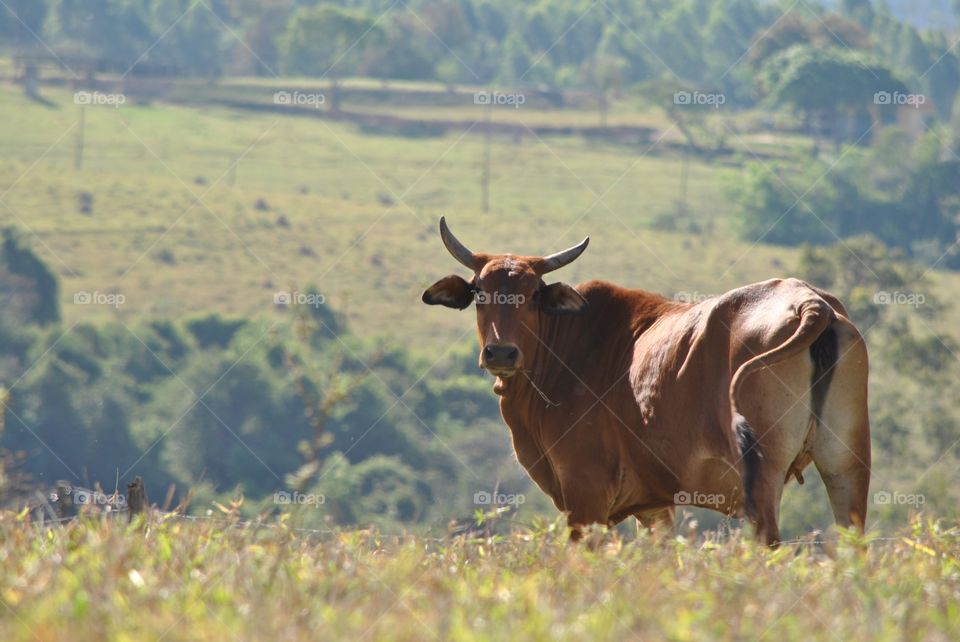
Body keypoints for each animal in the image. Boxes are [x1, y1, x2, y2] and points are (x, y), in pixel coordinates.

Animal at [422, 218, 871, 545]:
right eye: (480, 291)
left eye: (533, 293)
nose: (501, 354)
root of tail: (809, 302)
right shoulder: (653, 507)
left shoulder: (585, 496)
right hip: (845, 466)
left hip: (762, 478)